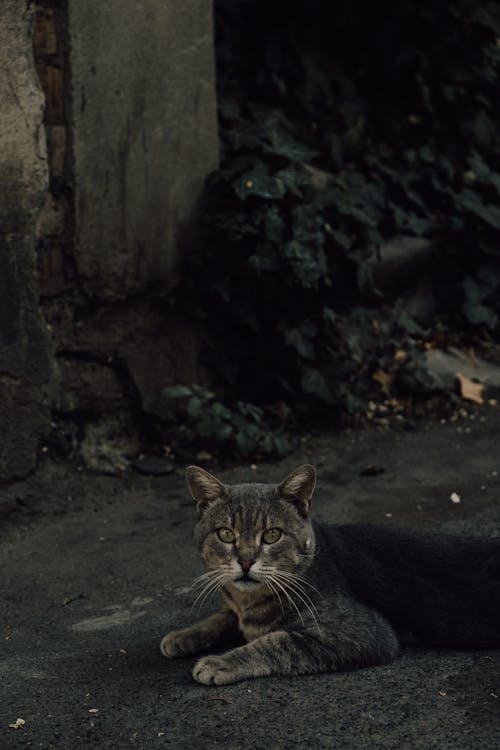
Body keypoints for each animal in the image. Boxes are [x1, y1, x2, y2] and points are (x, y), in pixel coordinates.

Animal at [159, 464, 500, 688]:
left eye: (271, 535)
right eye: (226, 534)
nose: (245, 560)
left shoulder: (364, 632)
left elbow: (276, 641)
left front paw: (220, 662)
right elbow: (221, 617)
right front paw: (182, 636)